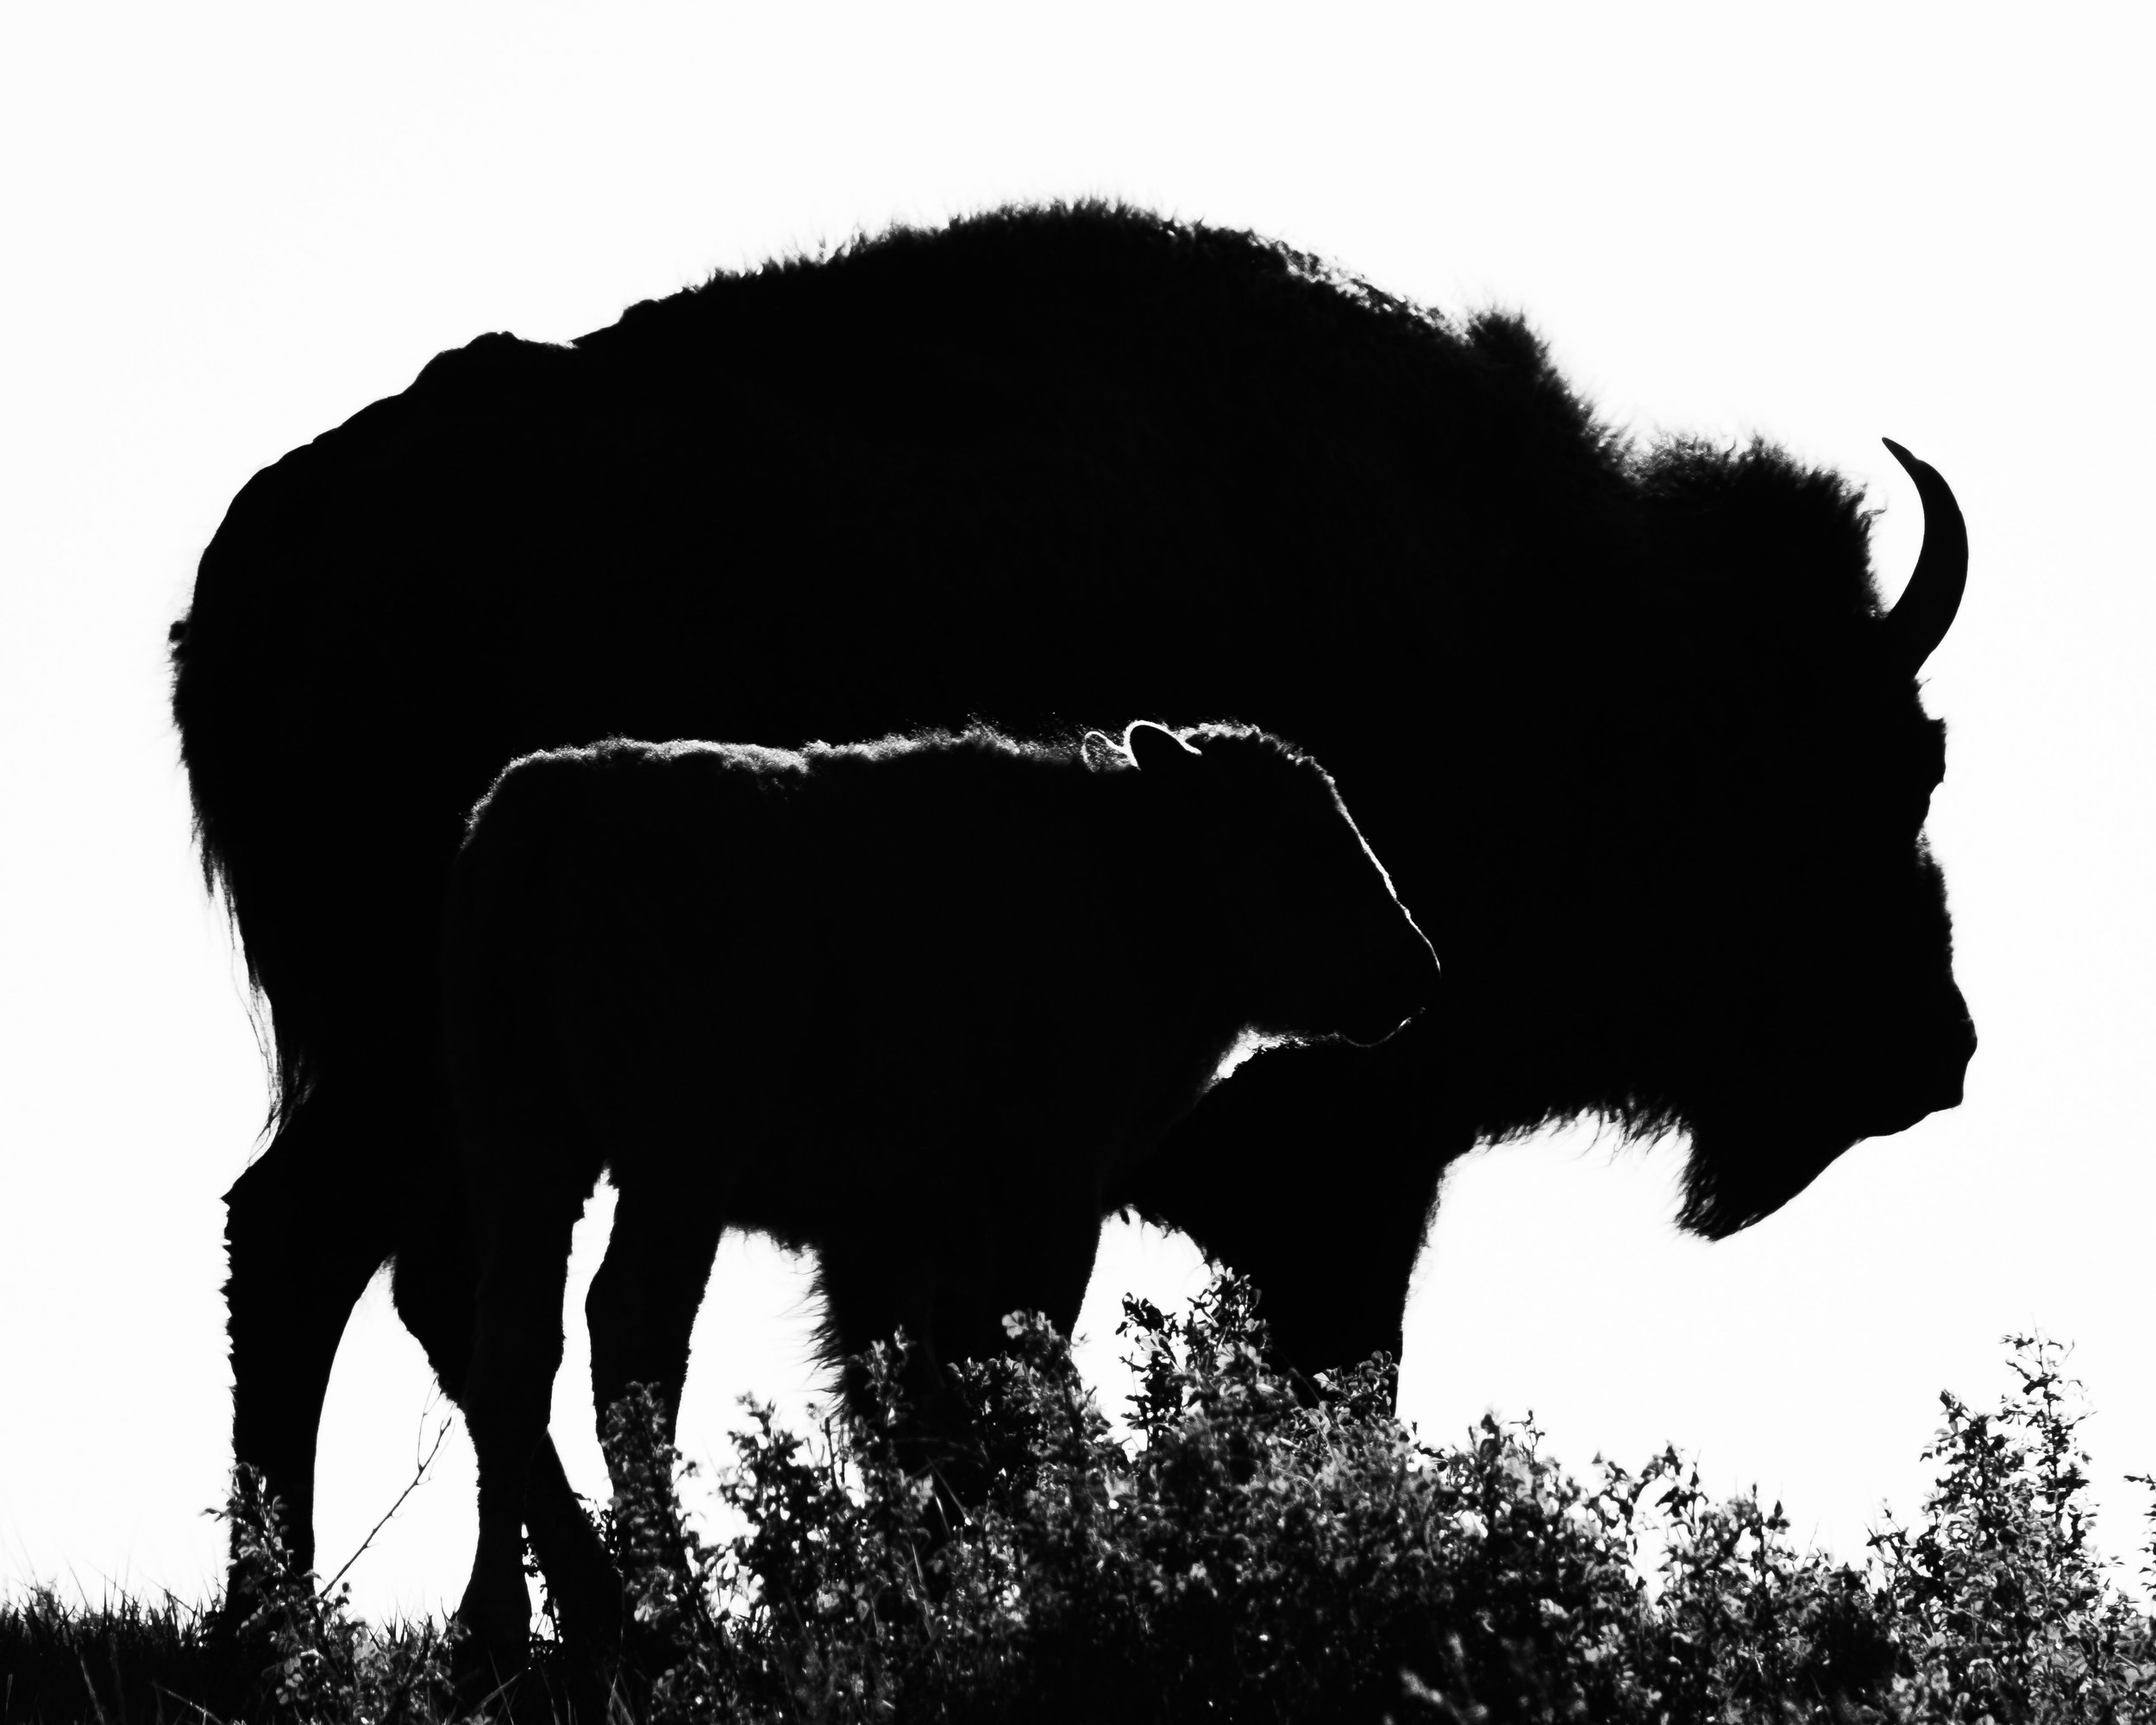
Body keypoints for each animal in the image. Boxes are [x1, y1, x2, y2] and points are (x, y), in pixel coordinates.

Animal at [169, 202, 1973, 1617]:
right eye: (1874, 768)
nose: (1933, 1053)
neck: (1543, 627)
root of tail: (279, 551)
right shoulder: (1331, 1169)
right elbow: (1287, 1387)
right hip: (429, 1068)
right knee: (336, 1253)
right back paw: (331, 1627)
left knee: (419, 1284)